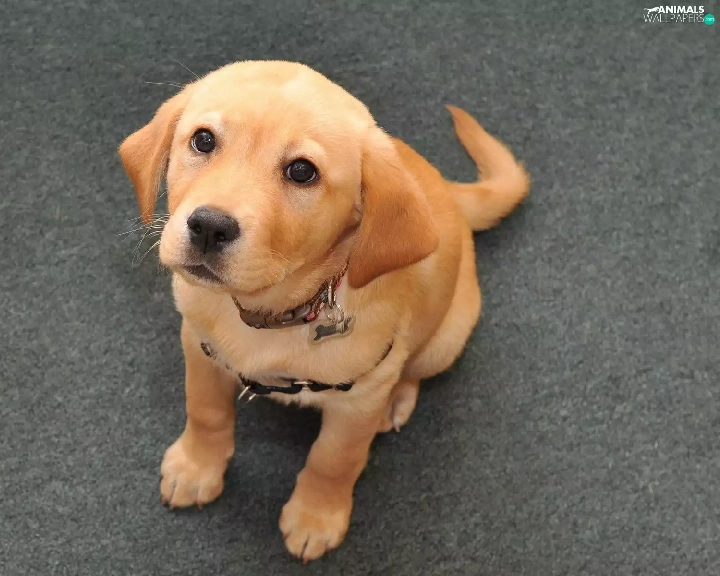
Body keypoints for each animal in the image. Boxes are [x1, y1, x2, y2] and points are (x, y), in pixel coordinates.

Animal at [119, 60, 529, 562]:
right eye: (203, 141)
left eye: (301, 171)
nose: (209, 226)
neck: (275, 314)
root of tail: (449, 194)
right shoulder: (200, 348)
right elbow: (205, 411)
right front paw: (197, 468)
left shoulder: (356, 401)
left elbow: (333, 461)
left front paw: (316, 516)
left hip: (446, 337)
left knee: (413, 370)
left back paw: (397, 400)